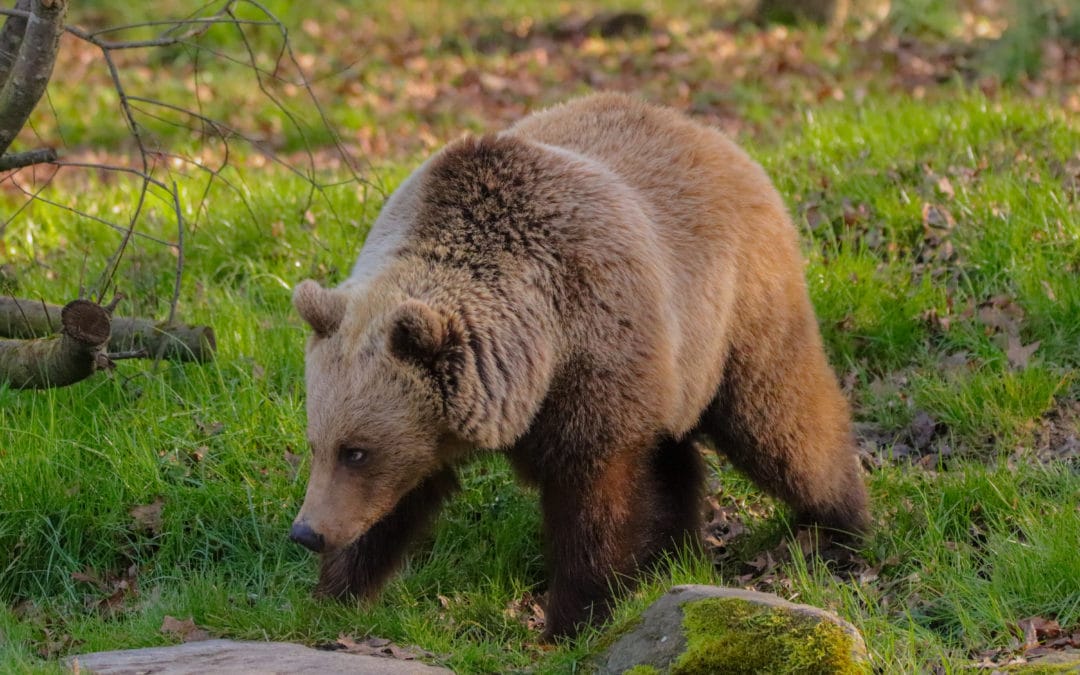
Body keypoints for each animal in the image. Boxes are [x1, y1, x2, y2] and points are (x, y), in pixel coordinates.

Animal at [287, 92, 868, 639]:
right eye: (320, 444)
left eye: (357, 451)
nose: (306, 533)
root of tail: (707, 133)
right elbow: (393, 503)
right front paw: (334, 595)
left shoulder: (596, 348)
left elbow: (594, 501)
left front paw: (574, 618)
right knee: (674, 450)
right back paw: (673, 552)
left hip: (736, 309)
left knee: (780, 419)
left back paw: (842, 527)